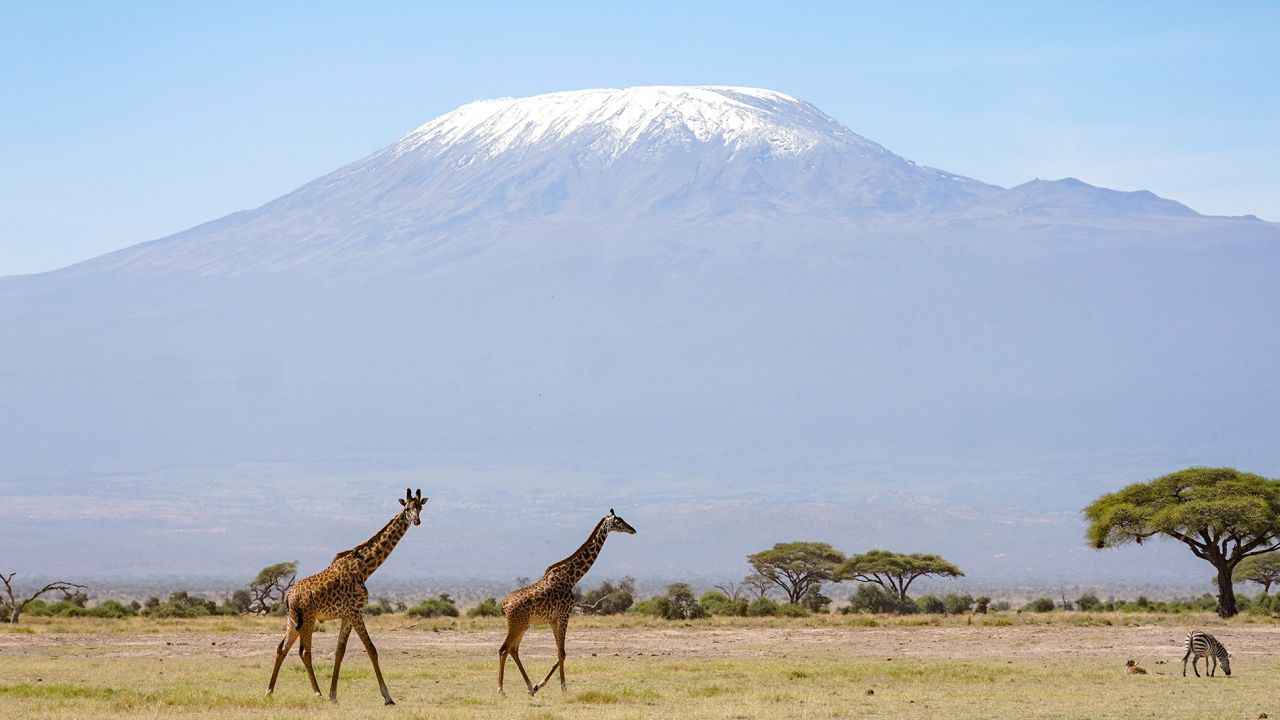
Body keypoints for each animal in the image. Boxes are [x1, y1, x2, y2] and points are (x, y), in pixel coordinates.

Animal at [264, 486, 430, 702]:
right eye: (407, 508)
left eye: (420, 507)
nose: (417, 521)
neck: (365, 568)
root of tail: (288, 596)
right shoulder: (356, 612)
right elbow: (371, 649)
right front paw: (387, 697)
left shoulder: (347, 615)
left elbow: (339, 651)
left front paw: (333, 694)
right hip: (308, 619)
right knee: (304, 651)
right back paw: (316, 692)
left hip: (292, 620)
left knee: (282, 648)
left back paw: (269, 691)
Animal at [499, 507, 640, 691]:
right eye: (618, 521)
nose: (633, 529)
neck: (571, 578)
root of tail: (504, 605)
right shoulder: (565, 614)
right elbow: (562, 652)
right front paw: (563, 687)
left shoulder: (553, 619)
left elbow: (560, 651)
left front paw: (540, 684)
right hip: (517, 624)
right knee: (504, 649)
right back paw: (501, 690)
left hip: (523, 624)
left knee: (513, 649)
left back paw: (530, 687)